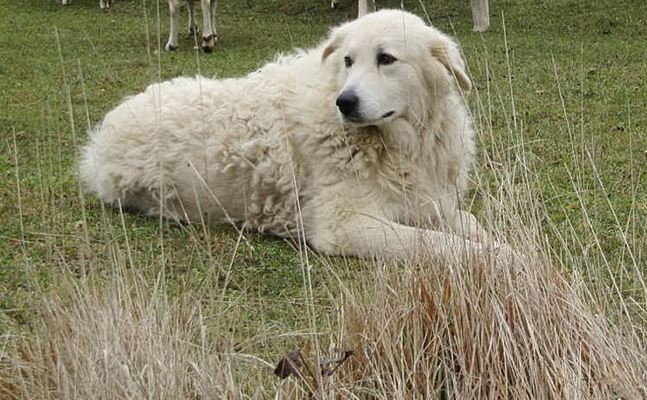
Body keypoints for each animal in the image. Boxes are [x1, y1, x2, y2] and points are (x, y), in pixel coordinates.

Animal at [79, 10, 492, 262]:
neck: (397, 143)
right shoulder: (344, 226)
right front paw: (498, 261)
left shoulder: (427, 203)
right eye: (348, 61)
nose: (344, 102)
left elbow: (473, 227)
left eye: (386, 59)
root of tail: (102, 133)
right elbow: (443, 244)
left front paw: (504, 245)